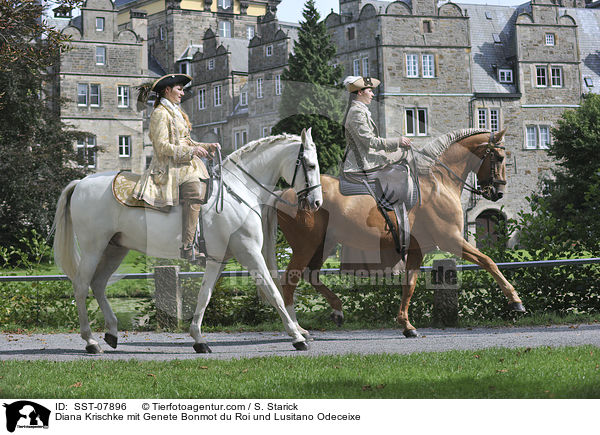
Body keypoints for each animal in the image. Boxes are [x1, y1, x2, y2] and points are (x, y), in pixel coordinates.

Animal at [52, 129, 324, 354]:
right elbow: (273, 291)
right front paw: (297, 336)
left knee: (98, 285)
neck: (238, 192)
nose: (316, 203)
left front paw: (199, 339)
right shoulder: (249, 253)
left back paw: (111, 333)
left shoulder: (218, 260)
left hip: (114, 250)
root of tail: (81, 183)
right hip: (93, 249)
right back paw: (91, 341)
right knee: (81, 286)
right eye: (310, 165)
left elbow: (205, 295)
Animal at [266, 127, 524, 338]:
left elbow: (409, 284)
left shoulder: (418, 249)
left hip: (323, 245)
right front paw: (516, 301)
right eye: (500, 157)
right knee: (289, 282)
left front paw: (406, 325)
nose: (498, 193)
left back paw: (337, 310)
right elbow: (488, 261)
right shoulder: (450, 239)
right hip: (306, 246)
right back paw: (298, 330)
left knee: (312, 276)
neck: (438, 182)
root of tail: (286, 193)